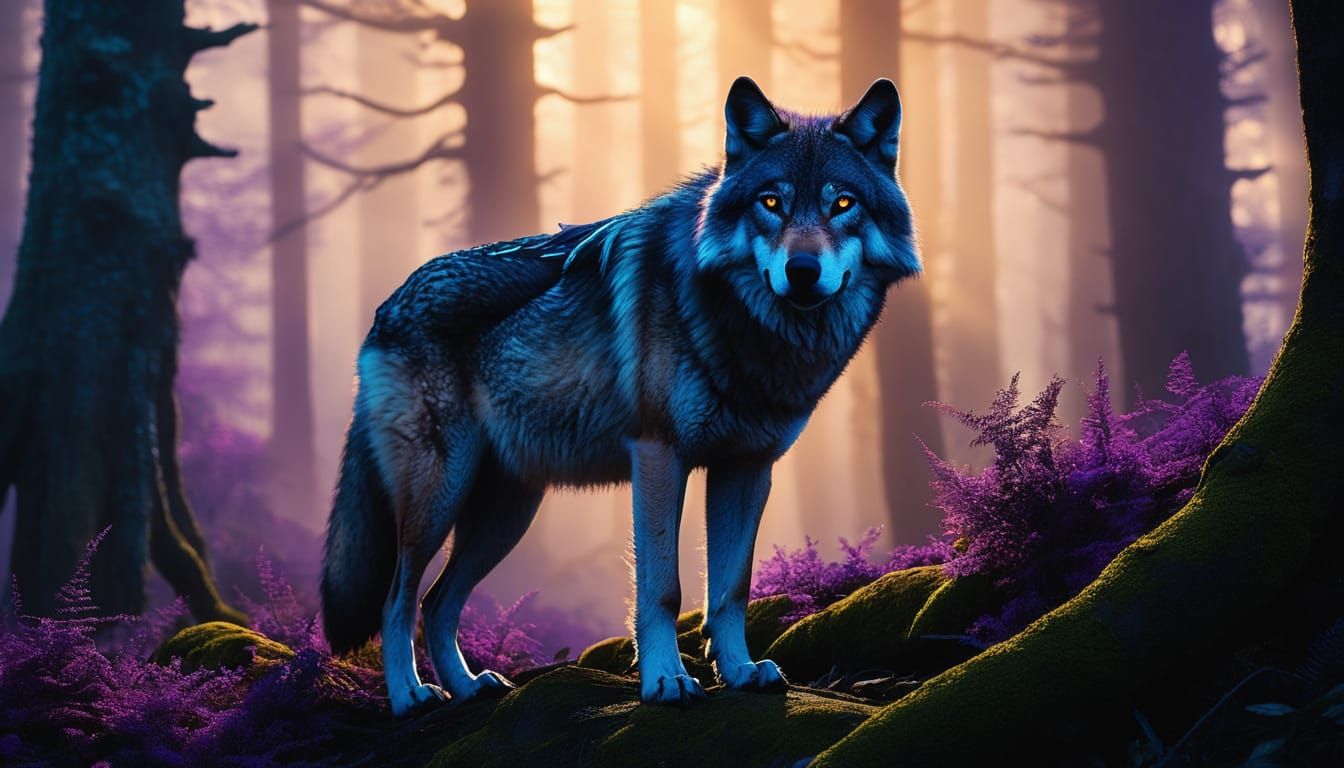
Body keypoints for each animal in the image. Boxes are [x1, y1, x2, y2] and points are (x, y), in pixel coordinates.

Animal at [321, 77, 919, 717]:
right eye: (771, 203)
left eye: (842, 204)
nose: (802, 270)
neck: (747, 332)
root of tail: (385, 308)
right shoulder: (659, 456)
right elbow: (663, 589)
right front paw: (665, 680)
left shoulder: (747, 468)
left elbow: (730, 589)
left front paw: (738, 671)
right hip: (441, 493)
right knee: (398, 598)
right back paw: (410, 695)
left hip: (506, 513)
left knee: (437, 602)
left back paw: (469, 687)